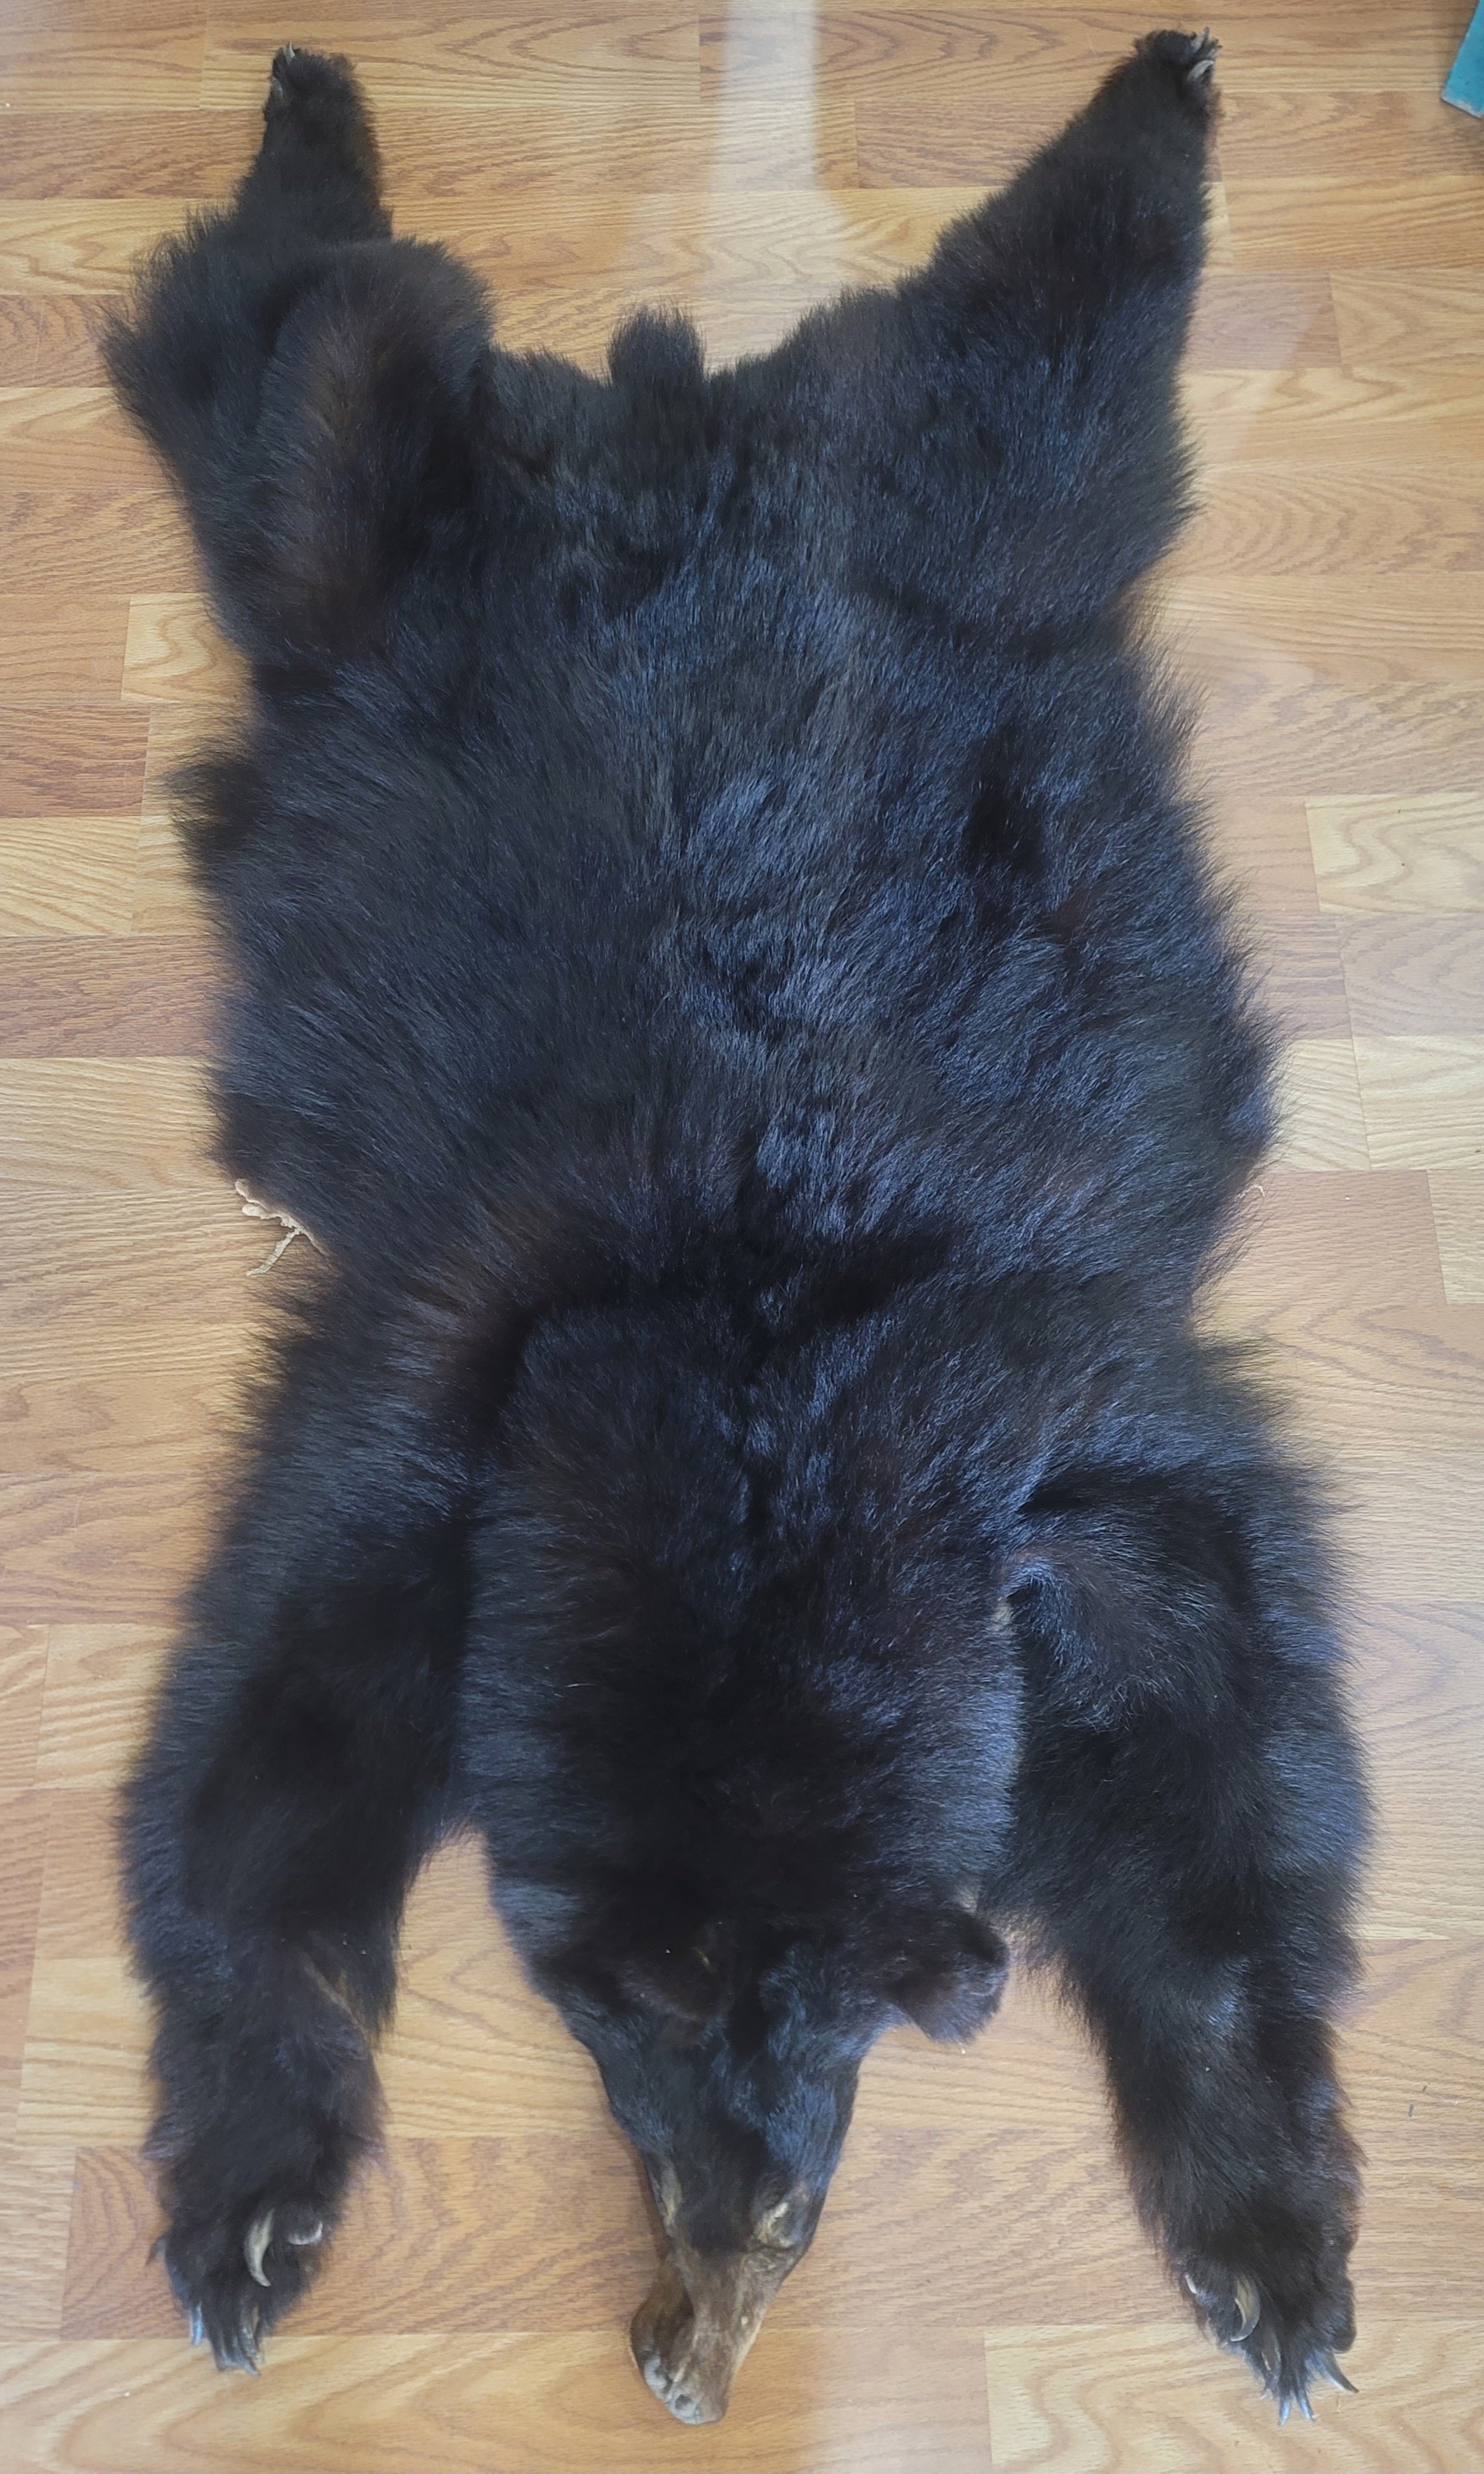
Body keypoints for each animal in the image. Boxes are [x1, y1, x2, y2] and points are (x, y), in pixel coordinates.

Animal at [105, 31, 1365, 2428]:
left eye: (842, 1999)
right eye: (621, 2007)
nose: (746, 2214)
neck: (758, 1343)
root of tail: (663, 421)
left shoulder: (1093, 1434)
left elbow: (1224, 1805)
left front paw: (1262, 2217)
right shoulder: (423, 1435)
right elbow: (253, 1807)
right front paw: (257, 2179)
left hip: (995, 495)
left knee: (1062, 306)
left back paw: (1157, 88)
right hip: (349, 536)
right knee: (271, 340)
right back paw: (319, 123)